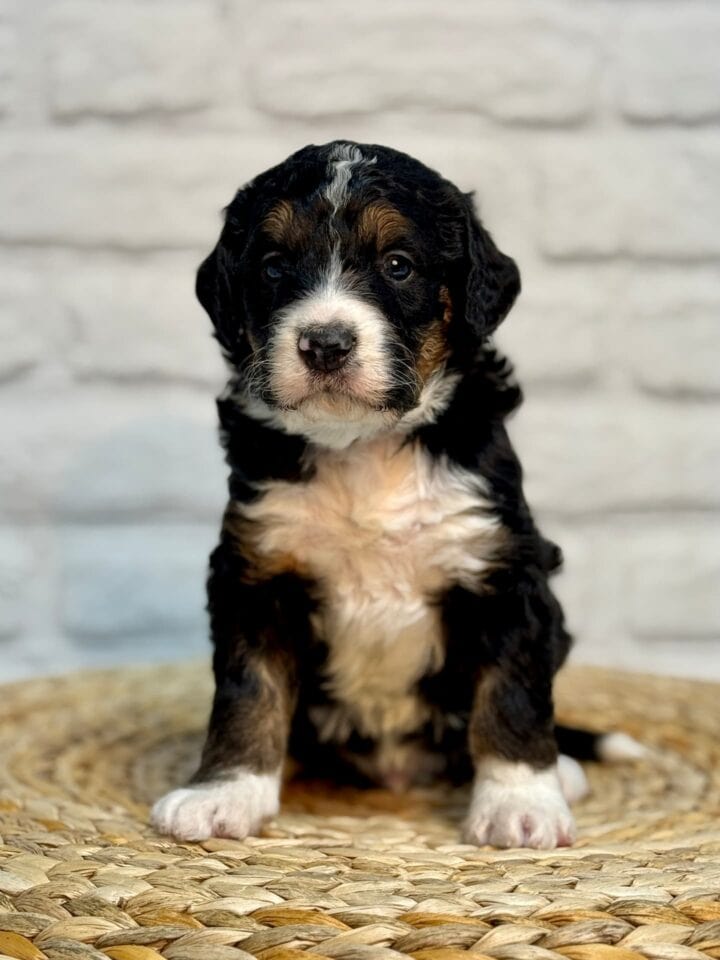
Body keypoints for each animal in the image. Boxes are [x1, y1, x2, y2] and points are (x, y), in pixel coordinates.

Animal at [149, 137, 640, 848]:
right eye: (273, 266)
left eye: (398, 266)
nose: (325, 343)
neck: (362, 446)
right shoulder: (258, 574)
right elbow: (249, 692)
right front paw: (224, 792)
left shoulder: (501, 571)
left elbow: (511, 695)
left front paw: (520, 805)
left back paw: (564, 771)